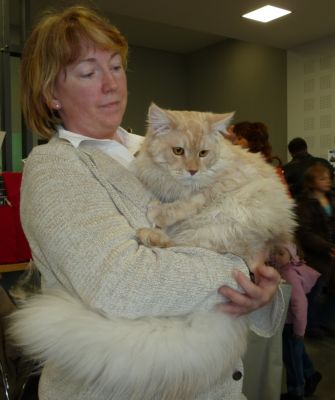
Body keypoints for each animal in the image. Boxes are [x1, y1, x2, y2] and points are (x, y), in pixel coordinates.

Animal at [134, 102, 296, 268]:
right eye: (178, 151)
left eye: (203, 153)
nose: (193, 171)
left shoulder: (226, 182)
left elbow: (189, 203)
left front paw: (158, 212)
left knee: (184, 243)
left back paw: (150, 234)